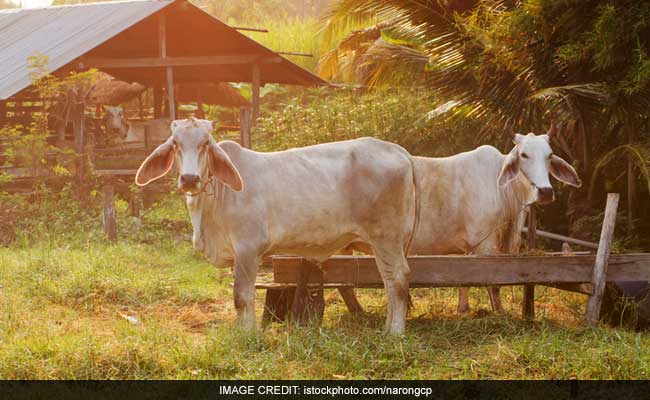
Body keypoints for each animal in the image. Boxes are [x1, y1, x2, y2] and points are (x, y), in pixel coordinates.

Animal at [134, 118, 419, 335]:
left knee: (398, 278)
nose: (190, 179)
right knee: (388, 280)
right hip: (382, 243)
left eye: (205, 144)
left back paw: (395, 332)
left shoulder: (248, 249)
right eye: (175, 144)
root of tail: (400, 152)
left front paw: (247, 335)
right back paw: (387, 327)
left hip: (387, 237)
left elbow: (242, 296)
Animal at [346, 121, 582, 313]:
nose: (545, 191)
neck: (503, 190)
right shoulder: (486, 245)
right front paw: (500, 313)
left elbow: (464, 279)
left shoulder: (466, 248)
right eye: (524, 155)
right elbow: (493, 284)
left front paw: (462, 309)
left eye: (549, 155)